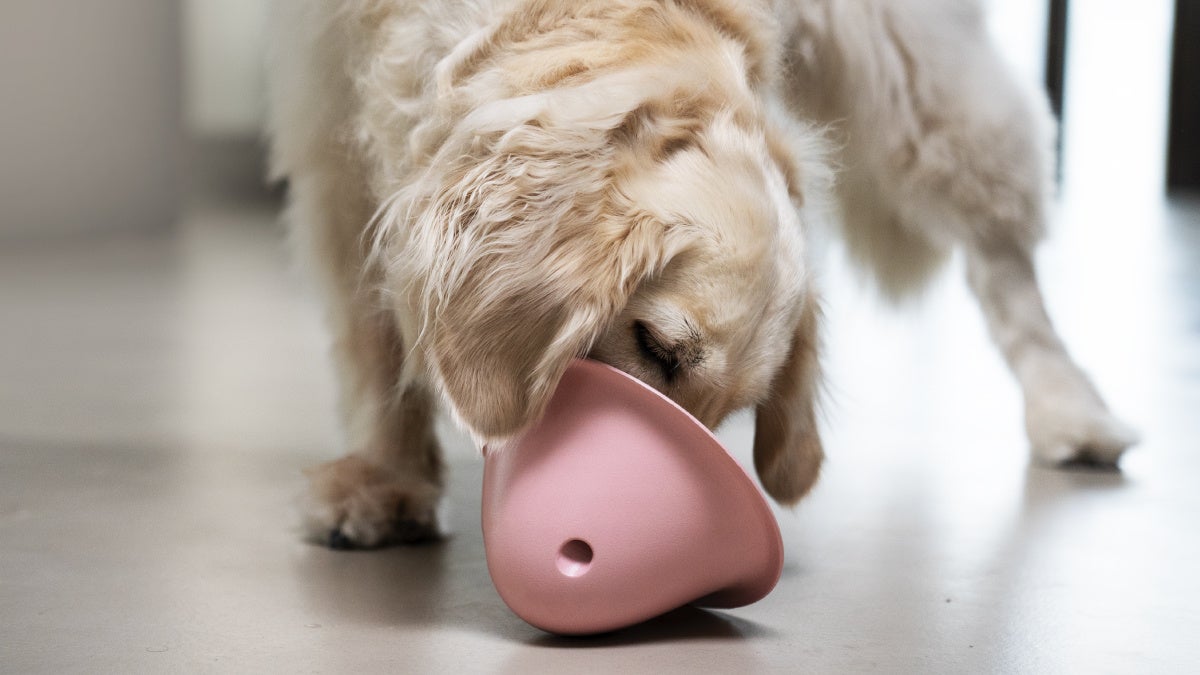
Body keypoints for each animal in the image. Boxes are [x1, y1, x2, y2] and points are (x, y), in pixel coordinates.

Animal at [266, 0, 1136, 548]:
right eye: (656, 346)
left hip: (915, 73)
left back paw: (1072, 410)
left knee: (1003, 249)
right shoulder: (331, 108)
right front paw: (386, 478)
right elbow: (372, 327)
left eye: (730, 416)